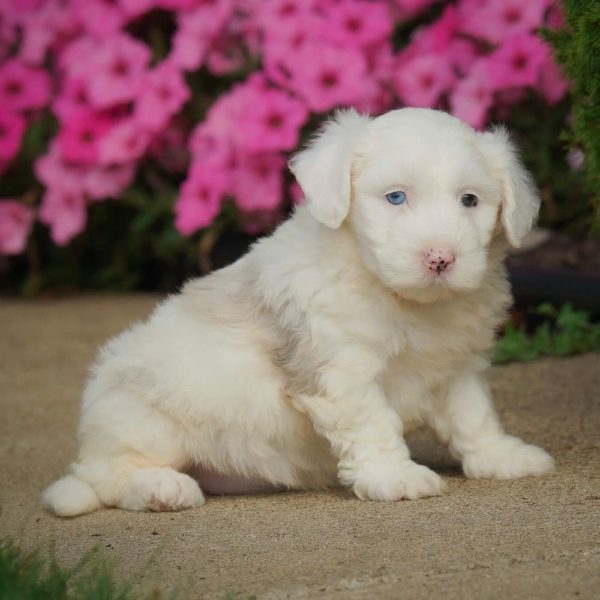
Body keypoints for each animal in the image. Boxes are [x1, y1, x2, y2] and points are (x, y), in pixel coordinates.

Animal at [44, 108, 556, 516]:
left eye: (470, 200)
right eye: (395, 197)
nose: (441, 258)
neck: (401, 297)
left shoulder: (459, 365)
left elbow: (475, 416)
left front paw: (502, 457)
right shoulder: (341, 371)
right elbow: (373, 423)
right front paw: (396, 476)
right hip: (144, 421)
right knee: (110, 477)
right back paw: (162, 488)